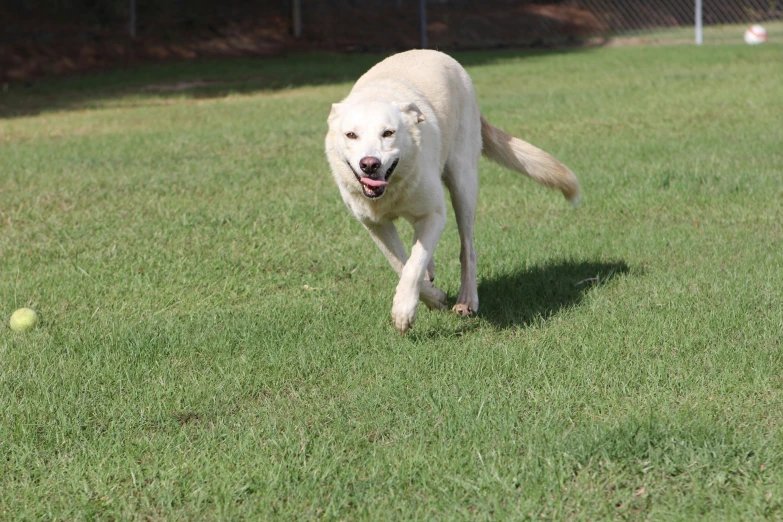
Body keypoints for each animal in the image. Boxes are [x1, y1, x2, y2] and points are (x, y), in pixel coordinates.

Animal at [324, 49, 576, 334]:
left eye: (388, 133)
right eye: (351, 135)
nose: (369, 164)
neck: (392, 189)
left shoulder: (434, 215)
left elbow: (413, 266)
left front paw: (405, 311)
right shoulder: (375, 224)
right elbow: (401, 263)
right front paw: (431, 297)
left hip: (463, 183)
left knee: (468, 249)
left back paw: (467, 300)